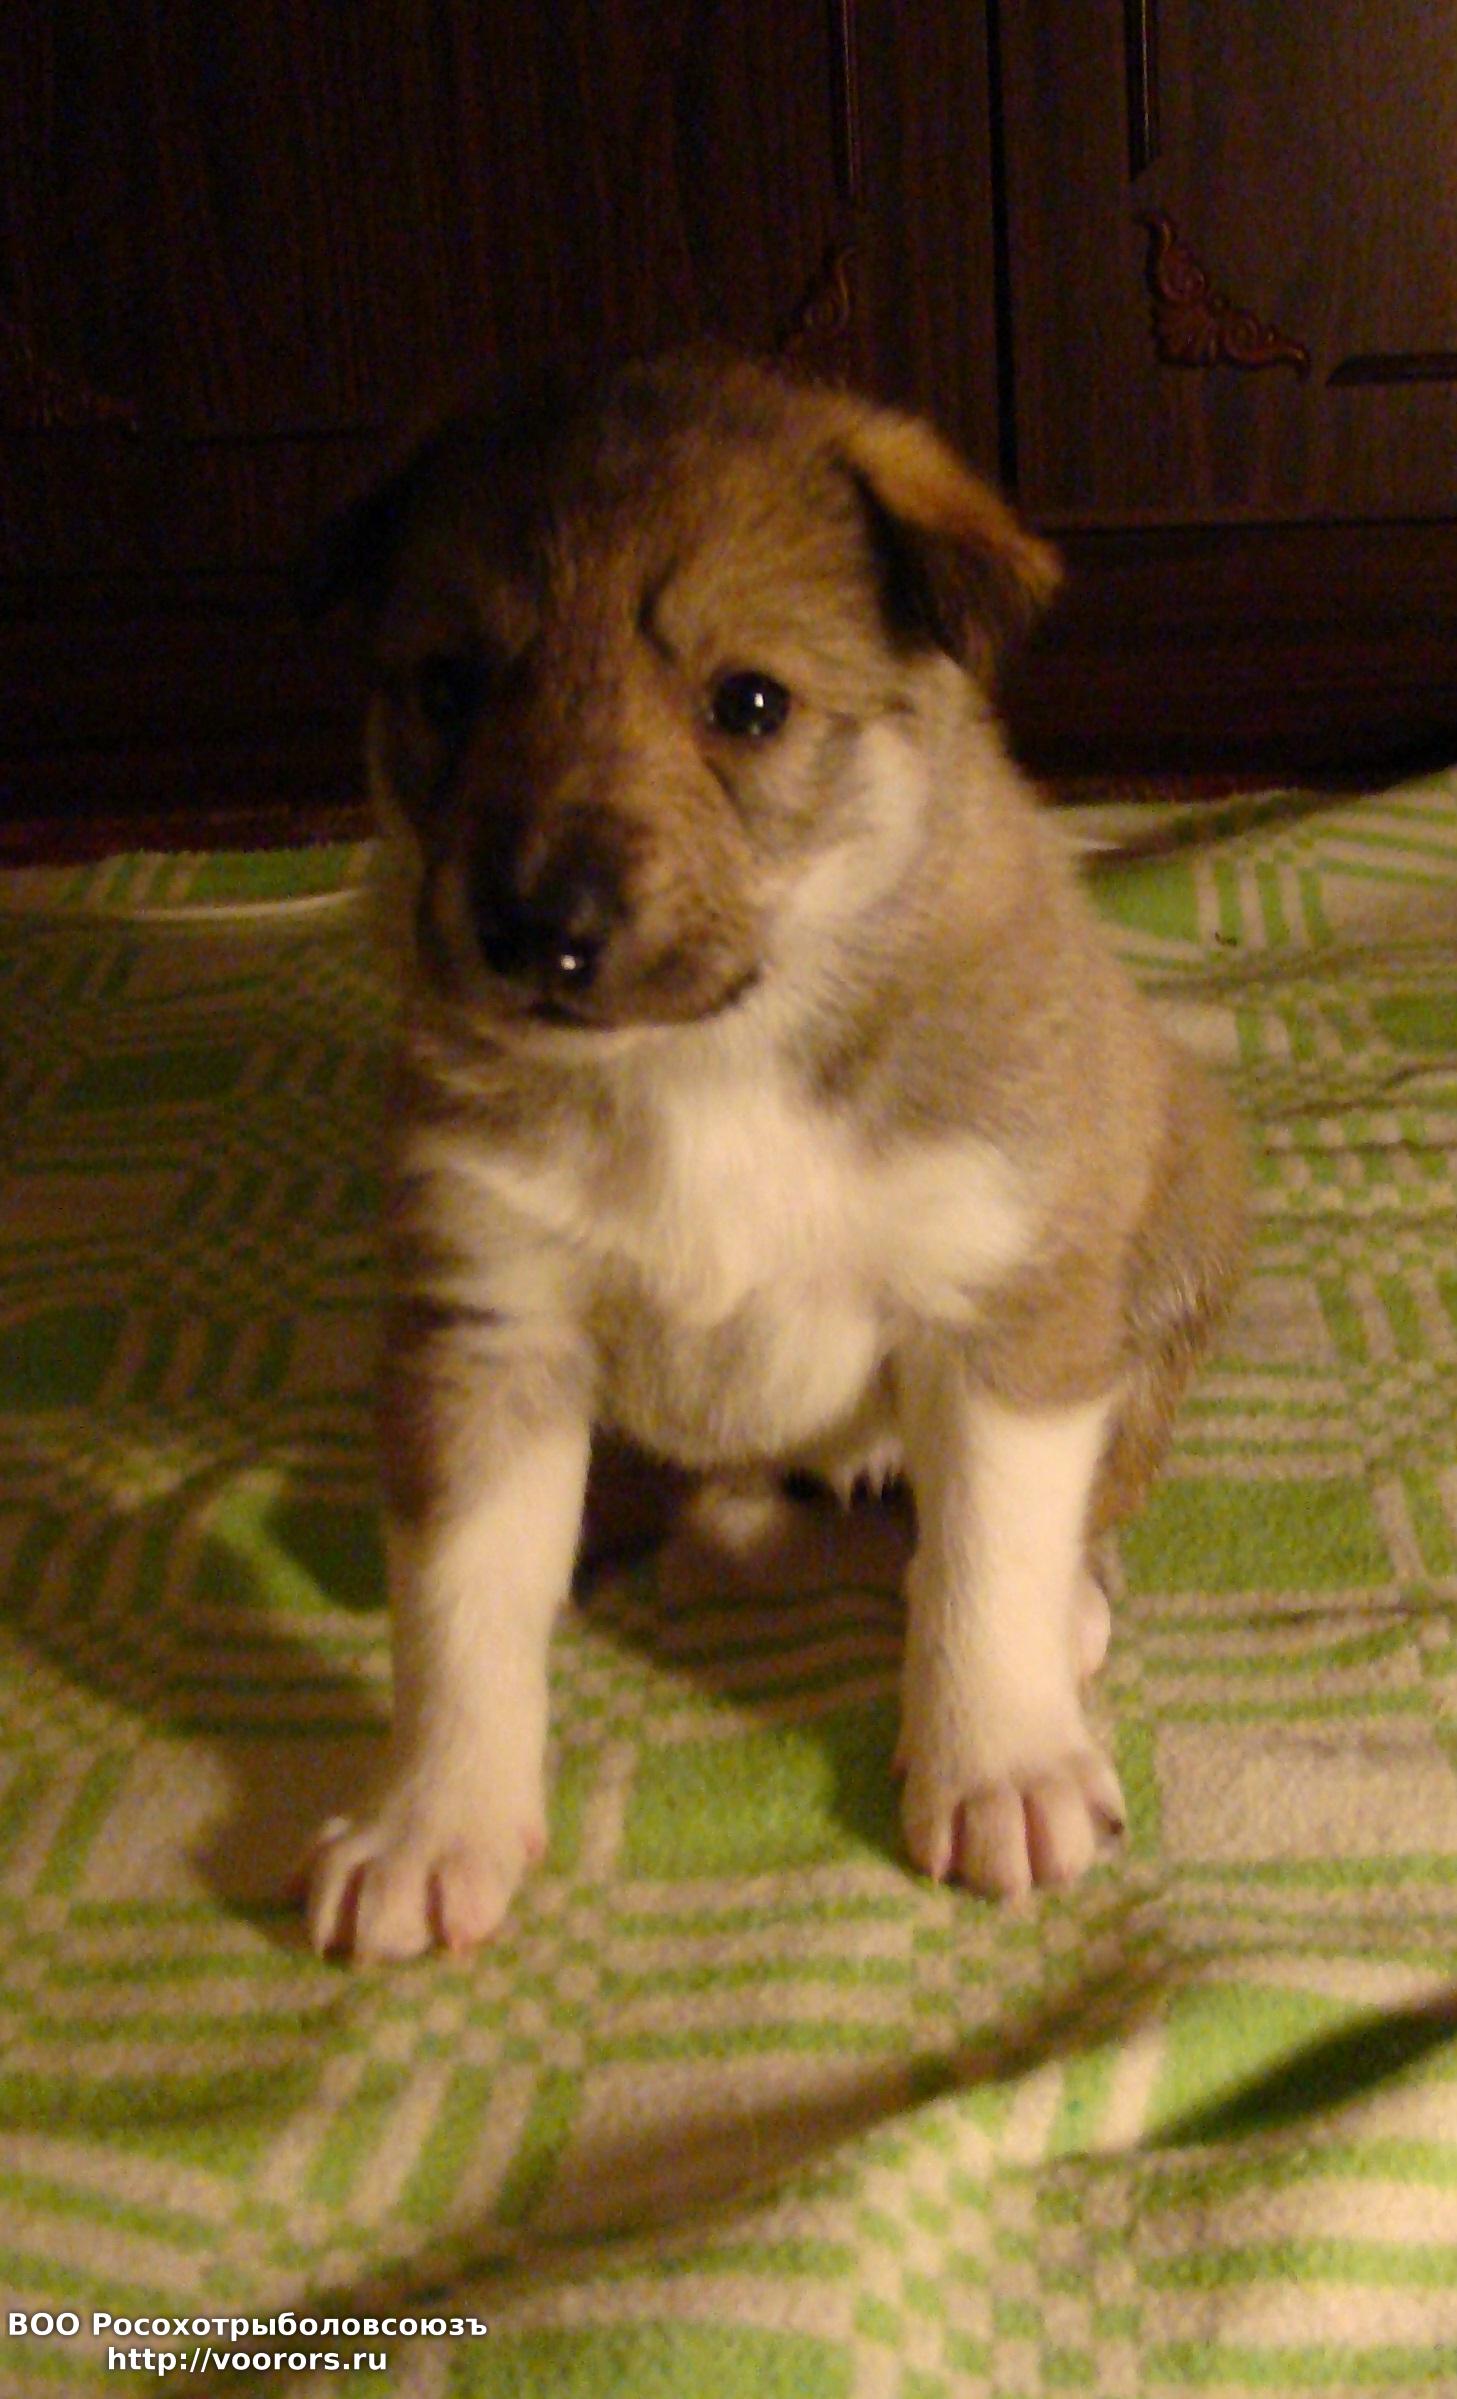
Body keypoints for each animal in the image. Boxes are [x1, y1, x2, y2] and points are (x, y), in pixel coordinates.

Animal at [301, 349, 1246, 1960]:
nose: (535, 930)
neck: (701, 1067)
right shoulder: (487, 1324)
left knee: (1060, 1498)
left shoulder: (994, 1301)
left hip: (1173, 1221)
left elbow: (984, 1555)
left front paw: (1000, 1765)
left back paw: (1060, 1610)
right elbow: (459, 1609)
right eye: (447, 685)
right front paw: (429, 1826)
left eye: (747, 701)